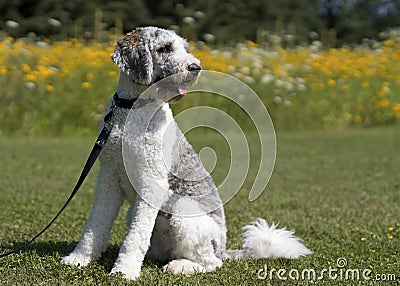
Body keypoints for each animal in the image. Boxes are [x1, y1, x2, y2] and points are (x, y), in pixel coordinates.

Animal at [61, 25, 312, 280]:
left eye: (185, 47)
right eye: (164, 48)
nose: (195, 67)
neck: (133, 108)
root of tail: (223, 249)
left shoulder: (151, 182)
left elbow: (135, 236)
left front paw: (124, 270)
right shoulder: (108, 178)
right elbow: (96, 223)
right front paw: (79, 258)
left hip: (184, 211)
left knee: (211, 263)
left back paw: (181, 266)